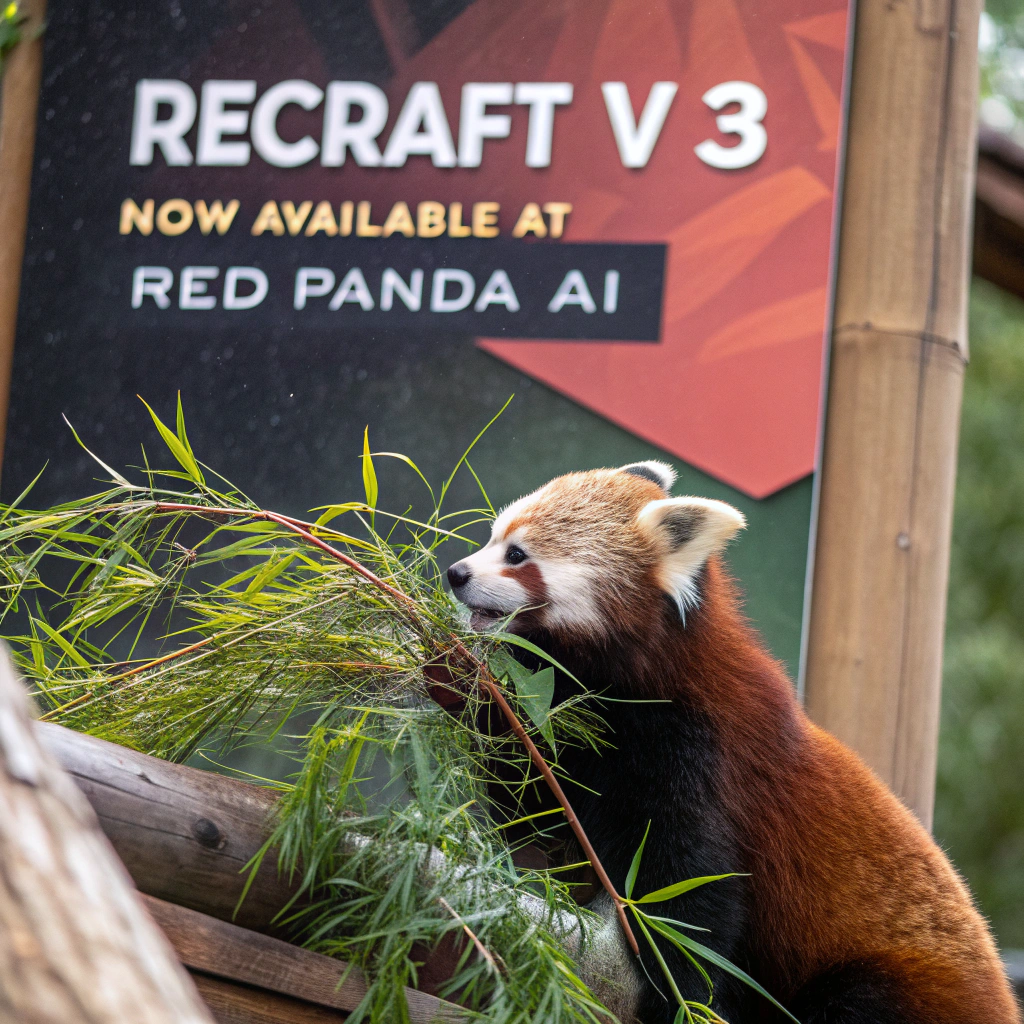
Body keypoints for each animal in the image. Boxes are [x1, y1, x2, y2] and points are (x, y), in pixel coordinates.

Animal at [446, 462, 1020, 1024]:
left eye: (516, 554)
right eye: (491, 536)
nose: (455, 573)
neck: (640, 681)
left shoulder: (691, 748)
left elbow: (690, 888)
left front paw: (685, 997)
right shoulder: (575, 733)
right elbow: (534, 800)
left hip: (896, 985)